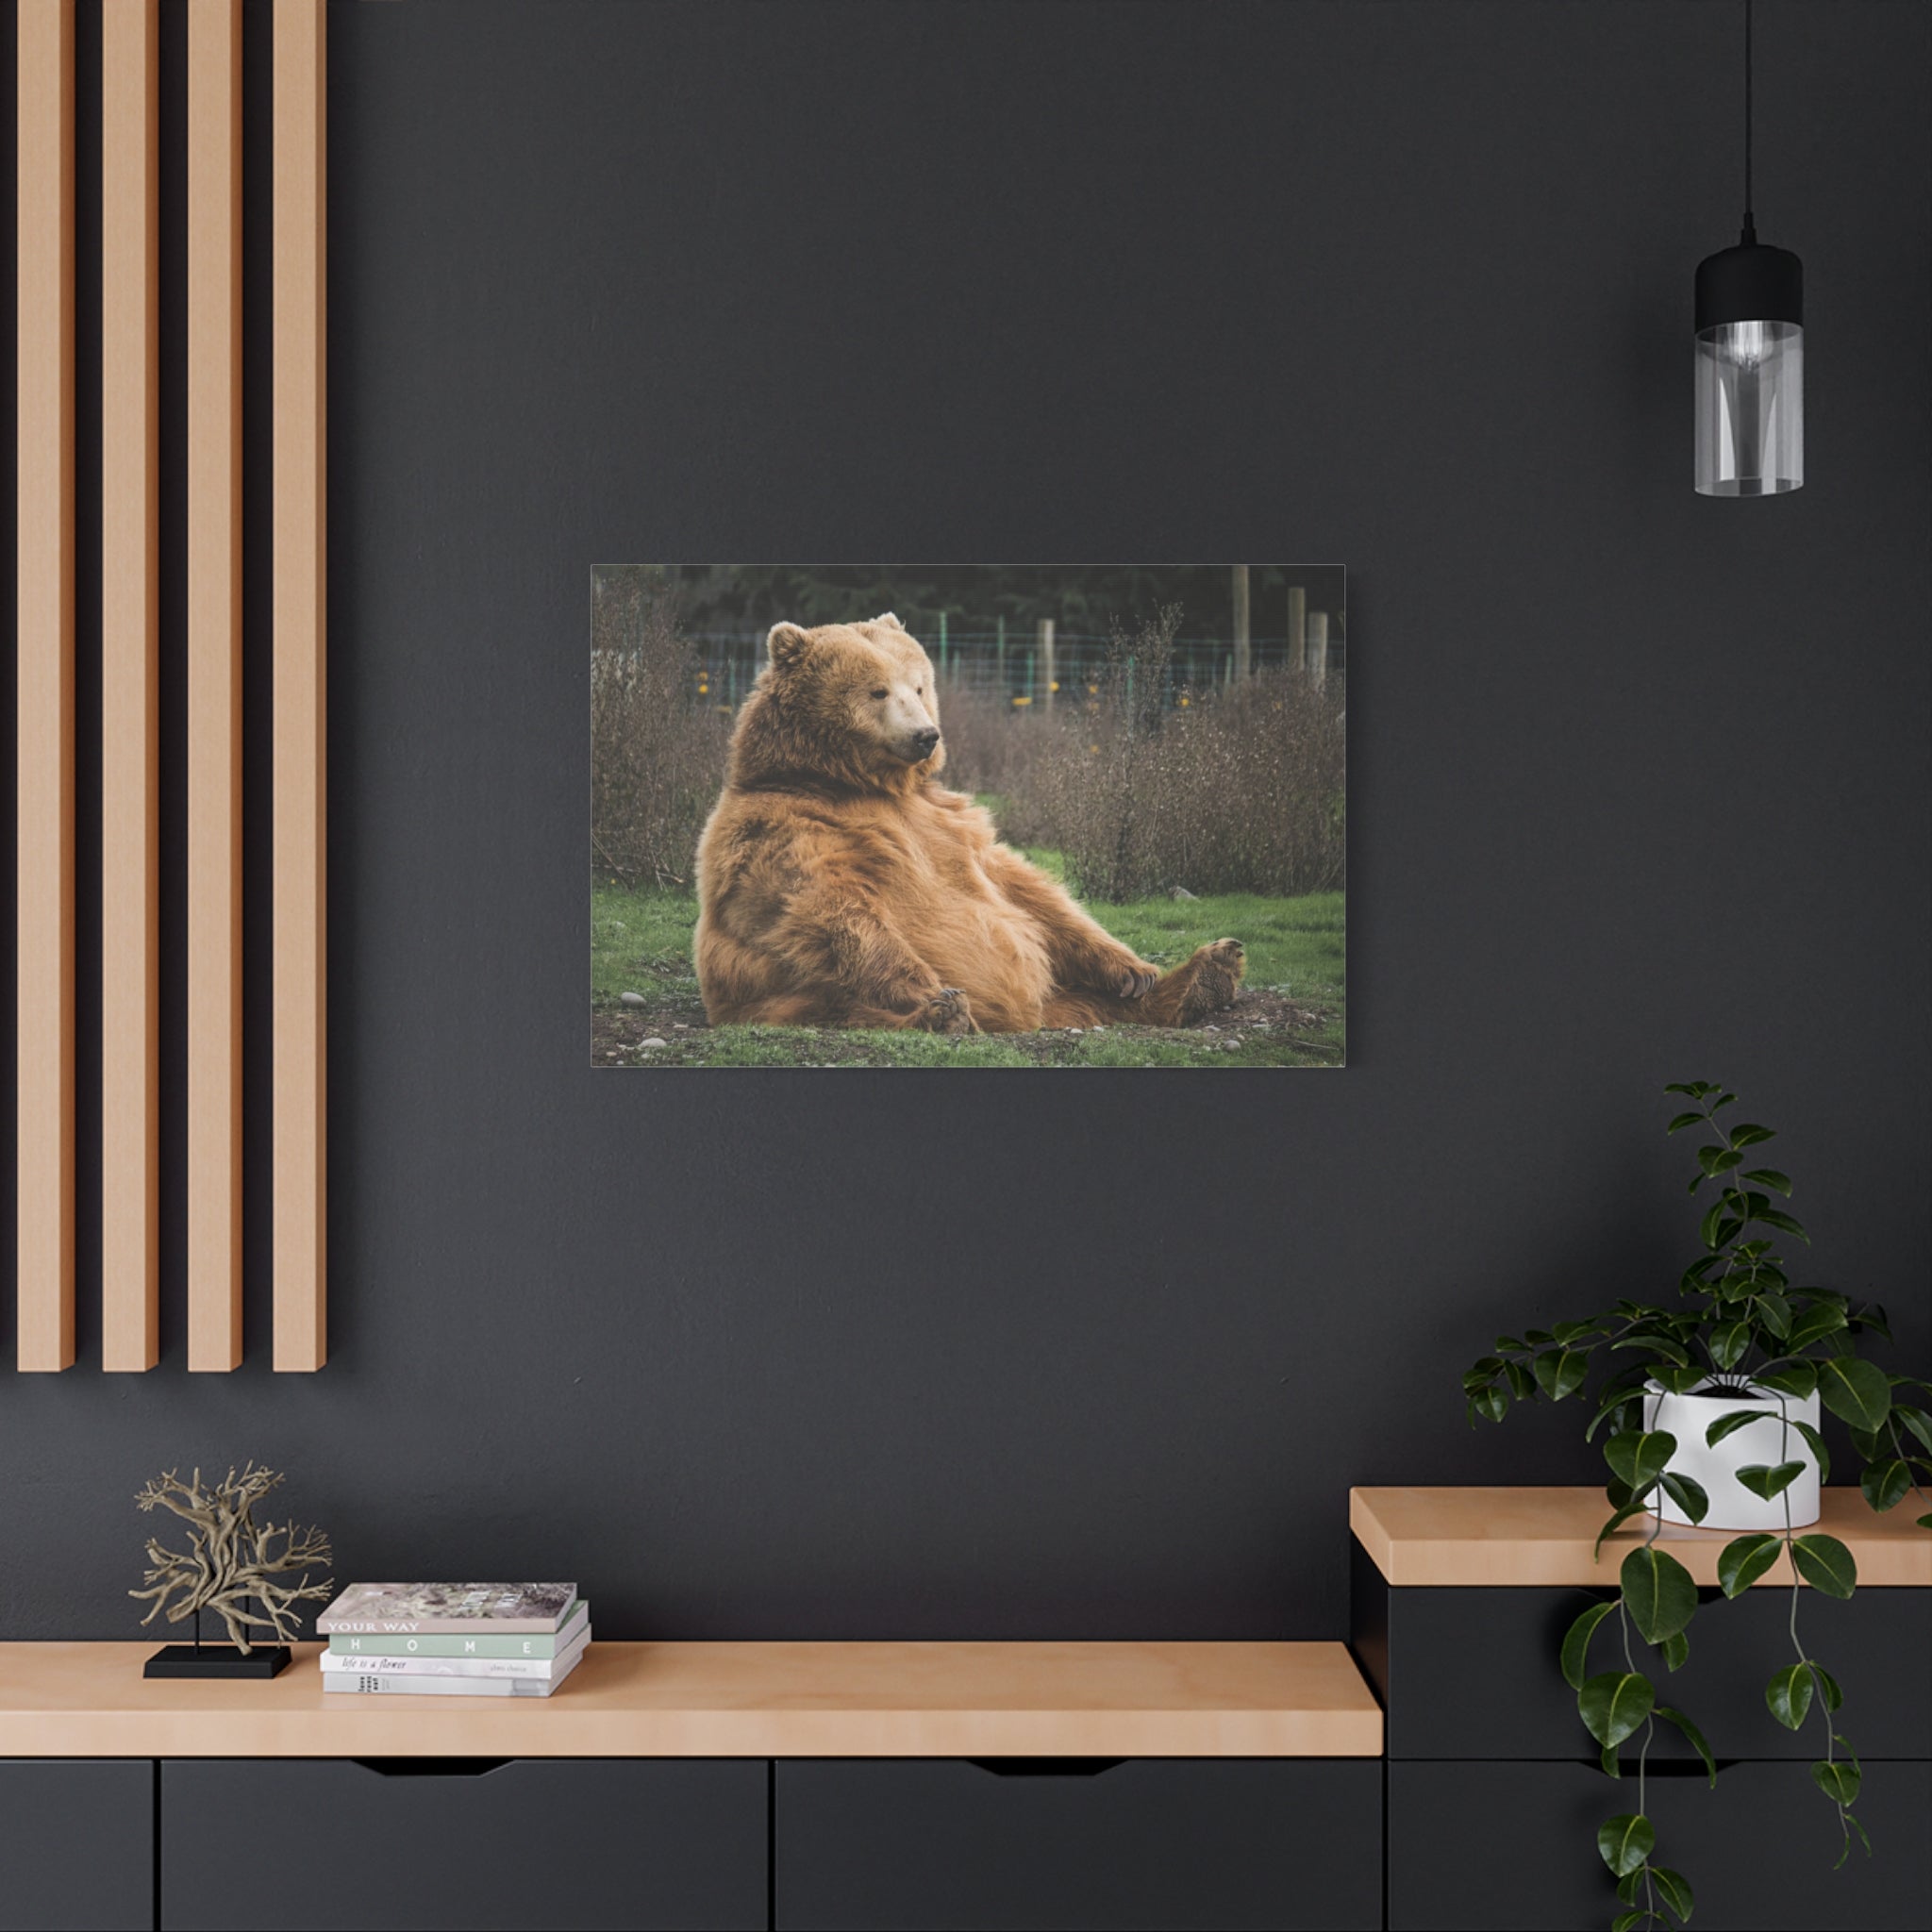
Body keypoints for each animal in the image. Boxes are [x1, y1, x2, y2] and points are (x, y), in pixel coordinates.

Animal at [692, 613, 1245, 1034]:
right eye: (877, 691)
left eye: (918, 685)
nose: (925, 735)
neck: (856, 783)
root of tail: (1029, 1017)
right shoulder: (786, 829)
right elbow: (830, 908)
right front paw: (934, 992)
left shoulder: (949, 822)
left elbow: (1026, 889)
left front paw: (1133, 969)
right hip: (781, 997)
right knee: (844, 1005)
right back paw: (943, 1014)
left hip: (1063, 993)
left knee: (1094, 1000)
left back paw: (1206, 973)